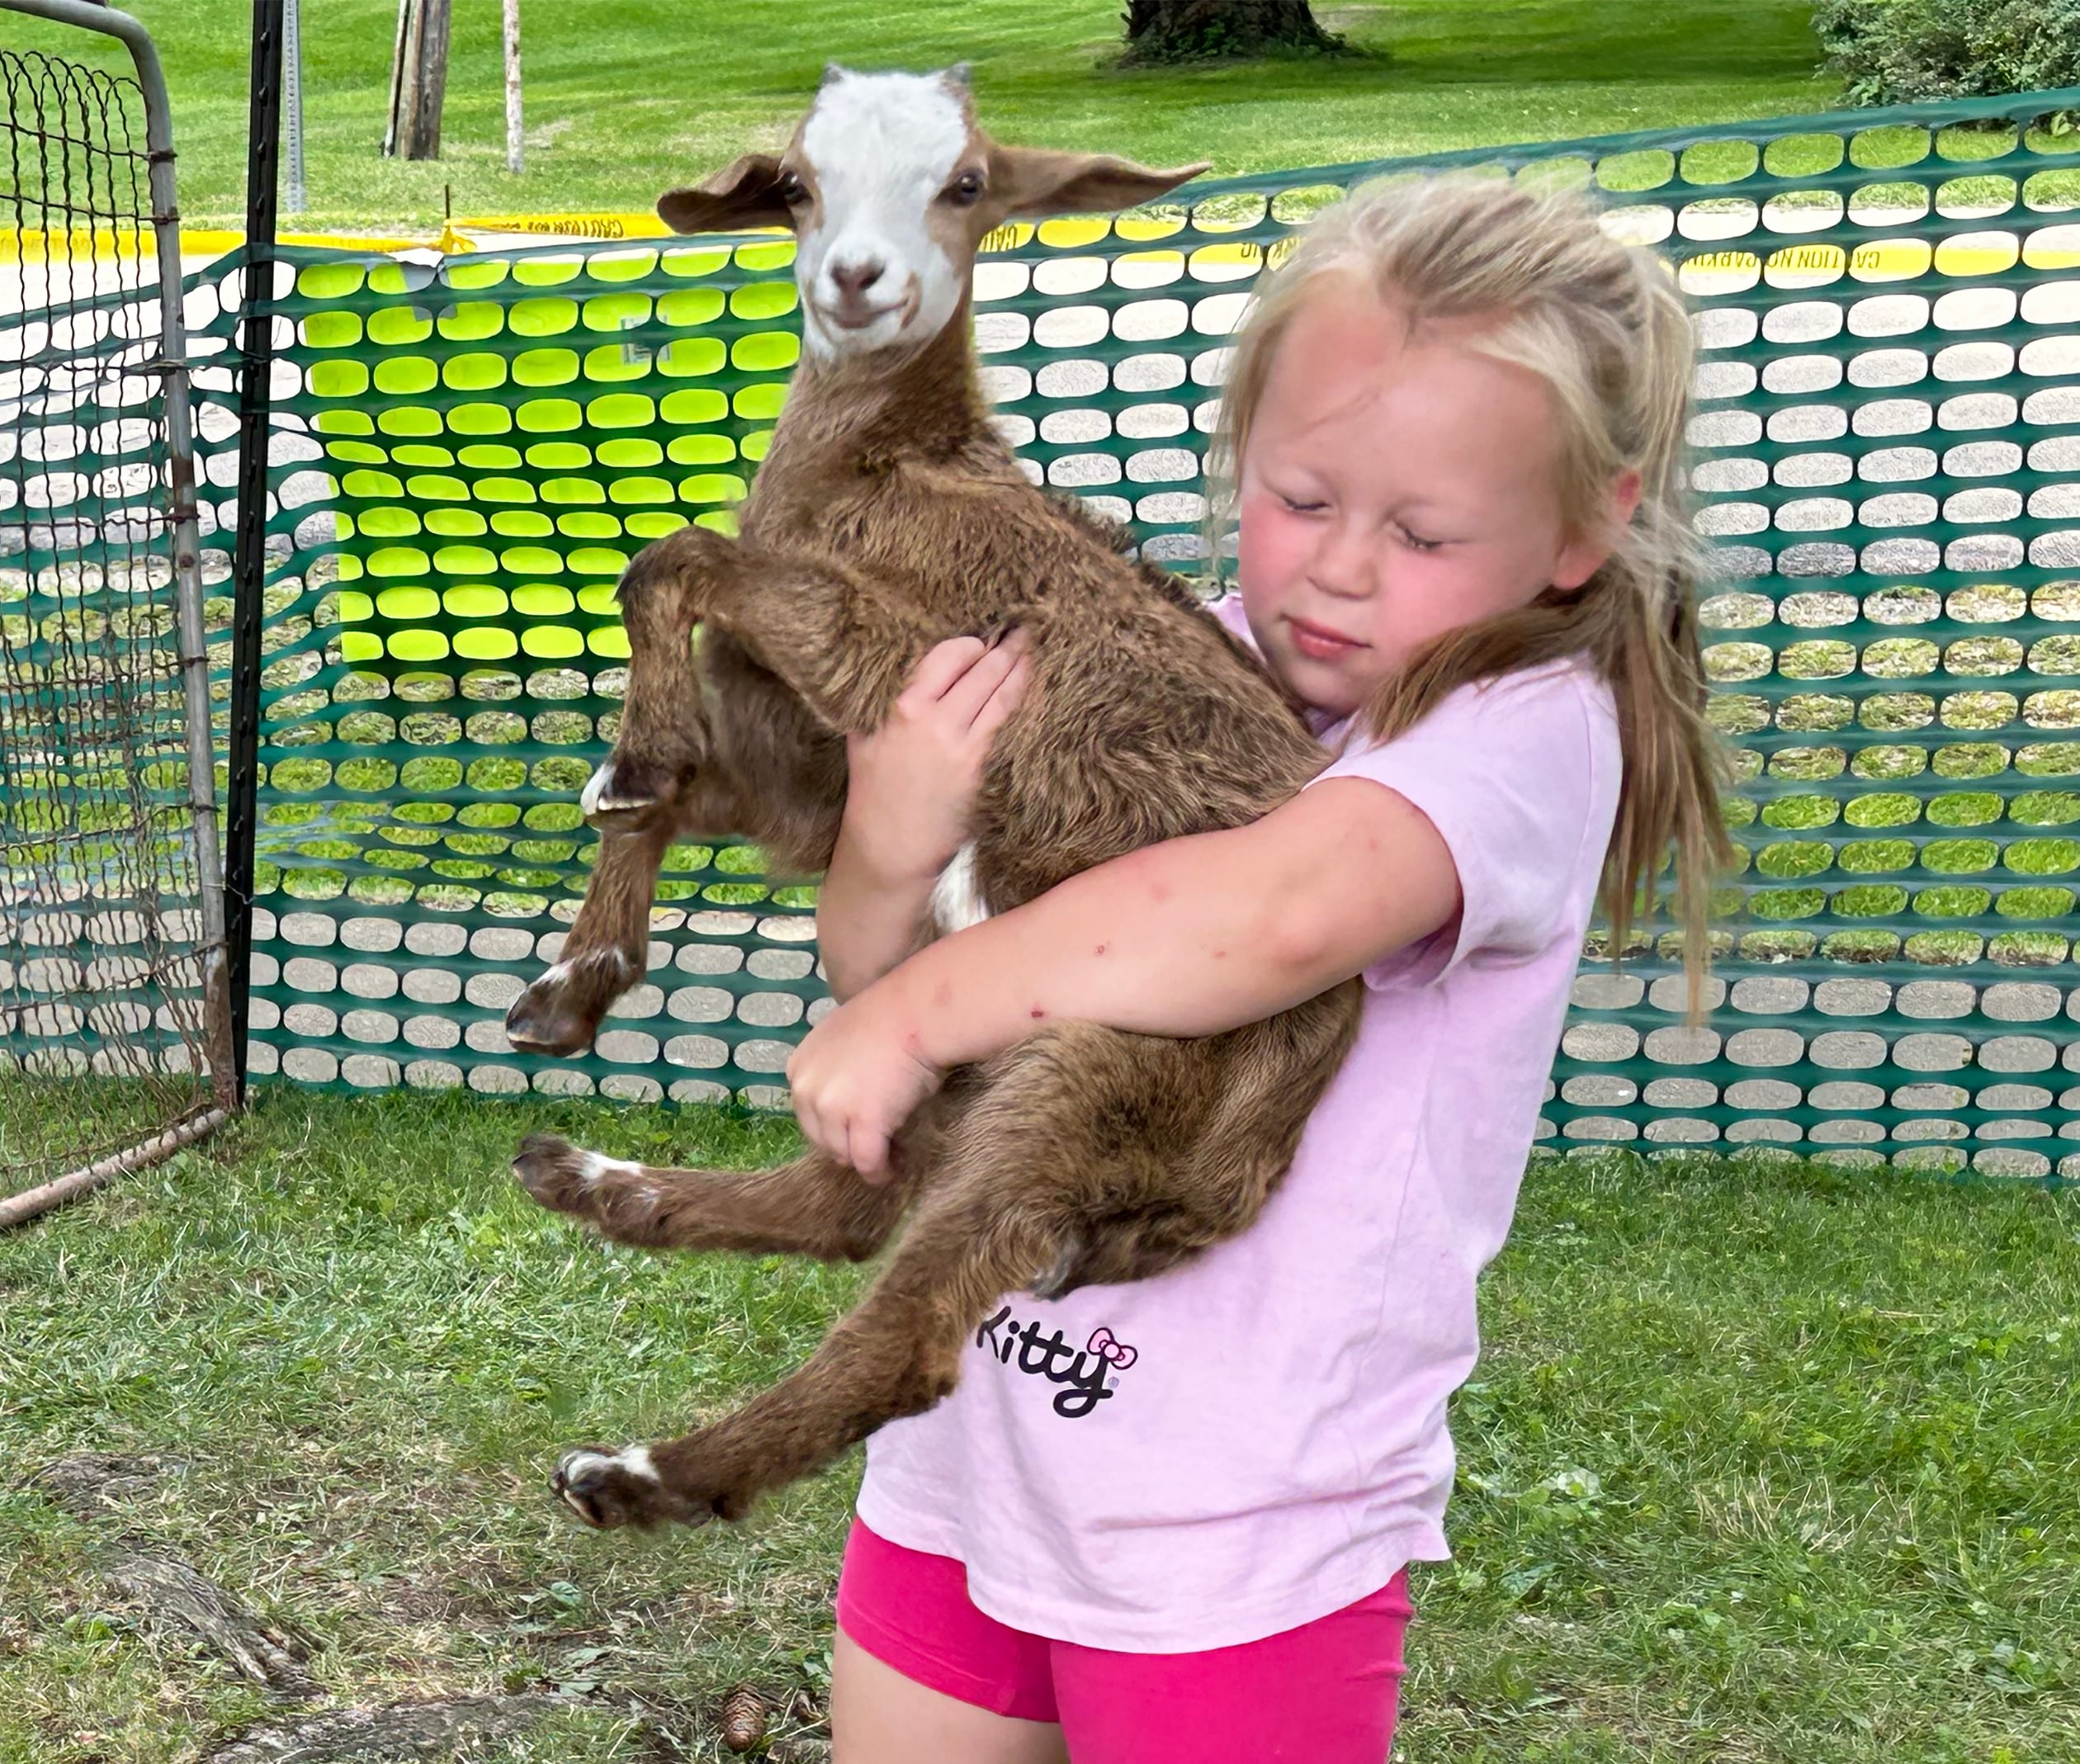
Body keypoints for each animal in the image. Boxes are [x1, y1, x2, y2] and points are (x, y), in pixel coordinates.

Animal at [503, 69, 1364, 1530]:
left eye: (965, 185)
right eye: (797, 185)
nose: (858, 279)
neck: (889, 468)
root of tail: (1270, 1138)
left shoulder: (914, 659)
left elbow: (670, 556)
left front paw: (634, 762)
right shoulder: (819, 789)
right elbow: (678, 800)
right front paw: (581, 975)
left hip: (1095, 1066)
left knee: (913, 1317)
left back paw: (646, 1475)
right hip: (972, 1040)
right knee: (857, 1204)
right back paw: (600, 1186)